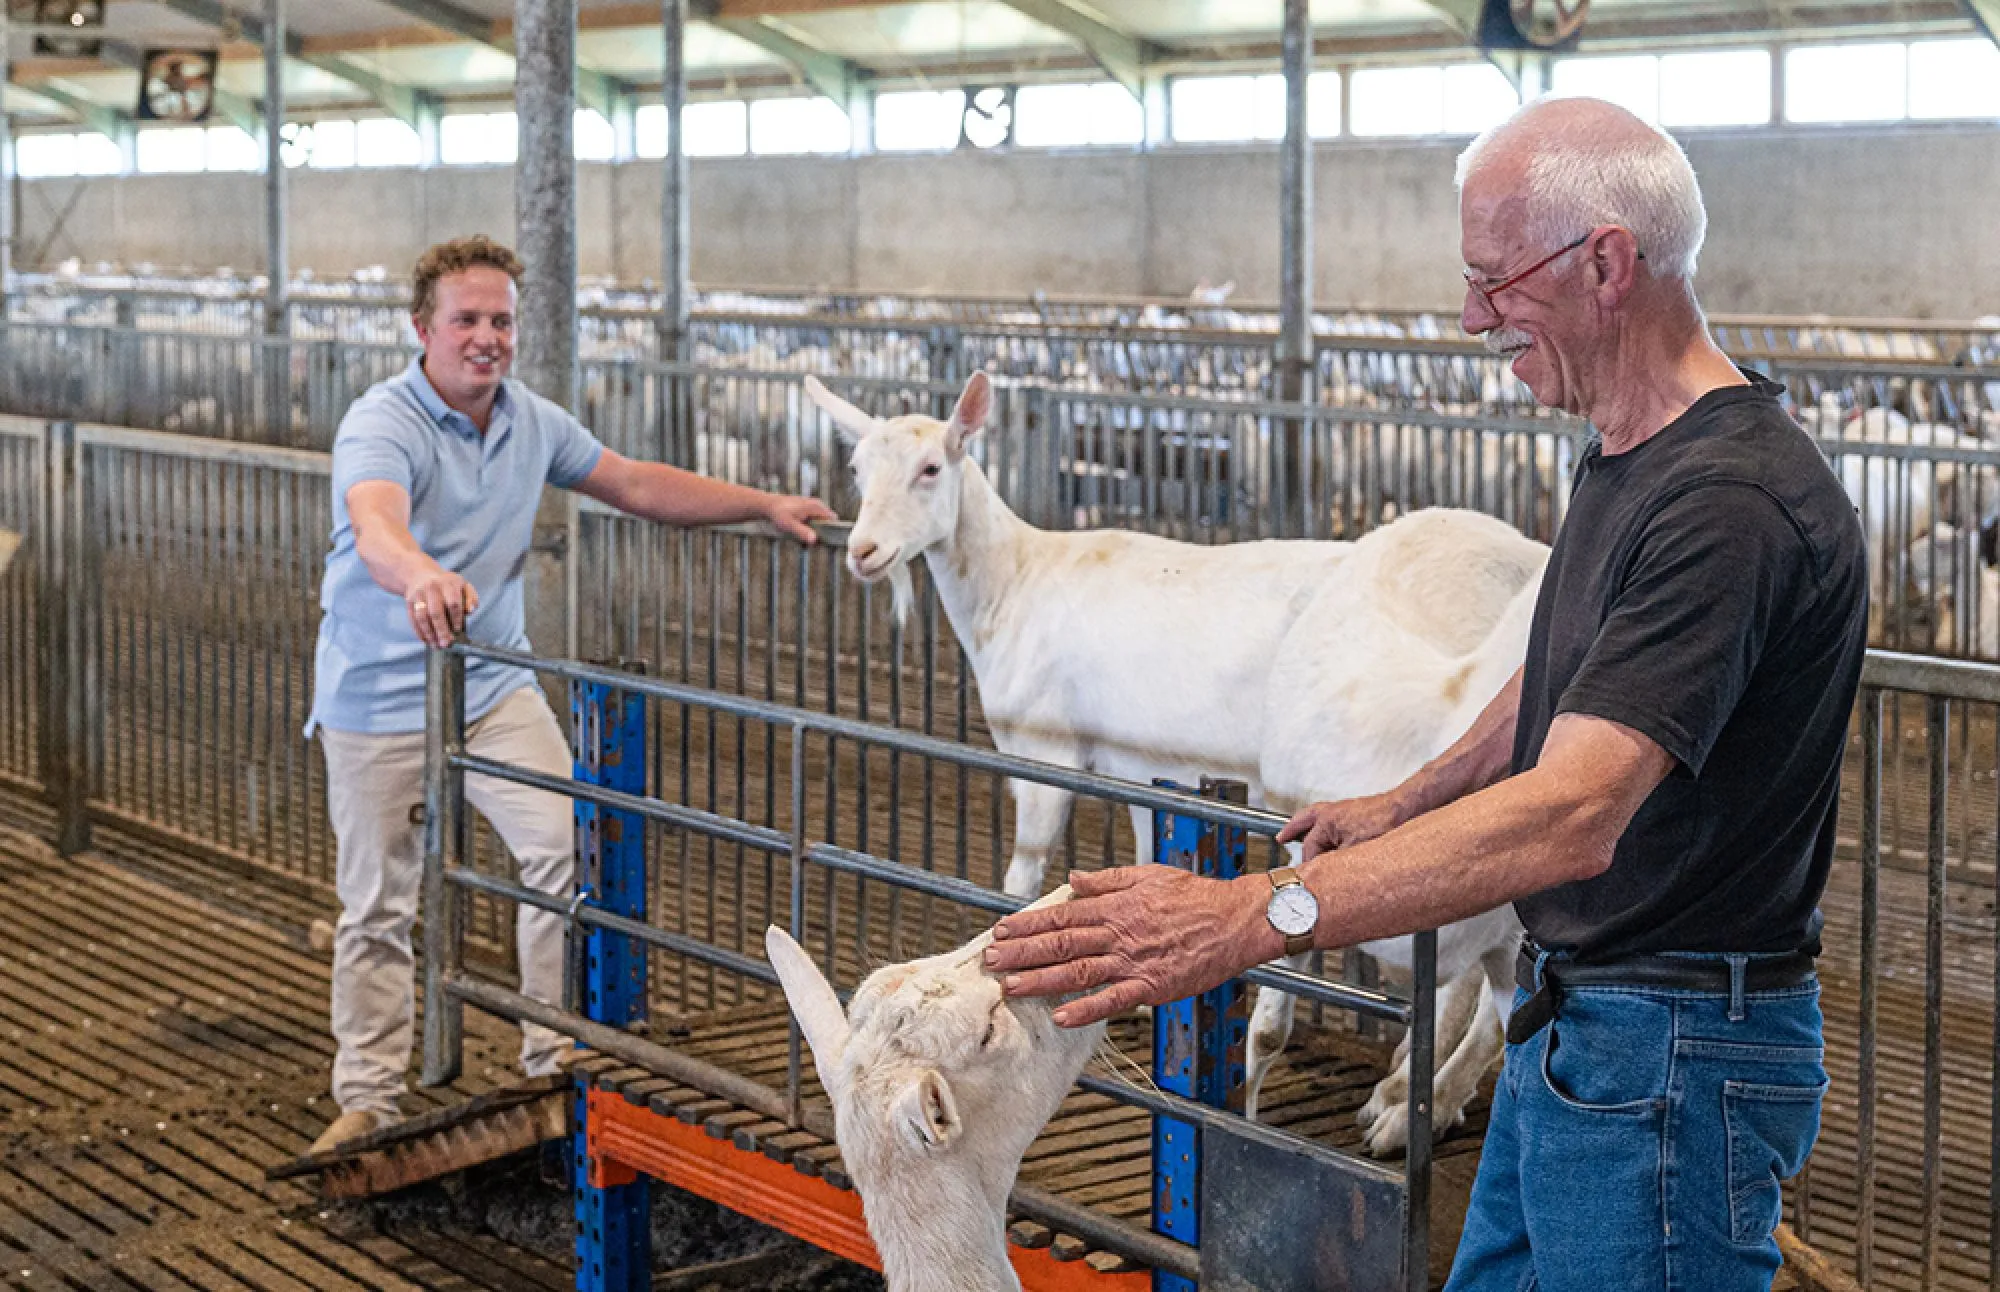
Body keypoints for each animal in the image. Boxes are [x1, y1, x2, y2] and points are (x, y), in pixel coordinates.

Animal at [800, 374, 1544, 1152]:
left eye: (931, 469)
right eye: (857, 470)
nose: (864, 551)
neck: (1015, 581)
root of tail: (1527, 550)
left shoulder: (1044, 745)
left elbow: (1021, 872)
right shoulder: (1139, 763)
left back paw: (1409, 1102)